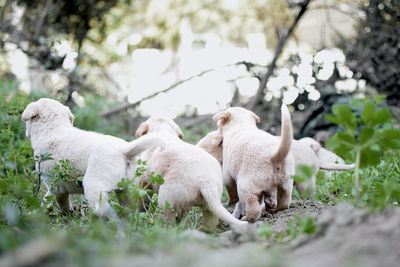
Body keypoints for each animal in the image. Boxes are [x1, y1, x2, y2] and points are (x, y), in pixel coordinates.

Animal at [21, 98, 165, 220]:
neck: (53, 129)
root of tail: (124, 151)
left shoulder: (54, 186)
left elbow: (49, 201)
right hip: (127, 188)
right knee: (128, 207)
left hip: (93, 185)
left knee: (105, 211)